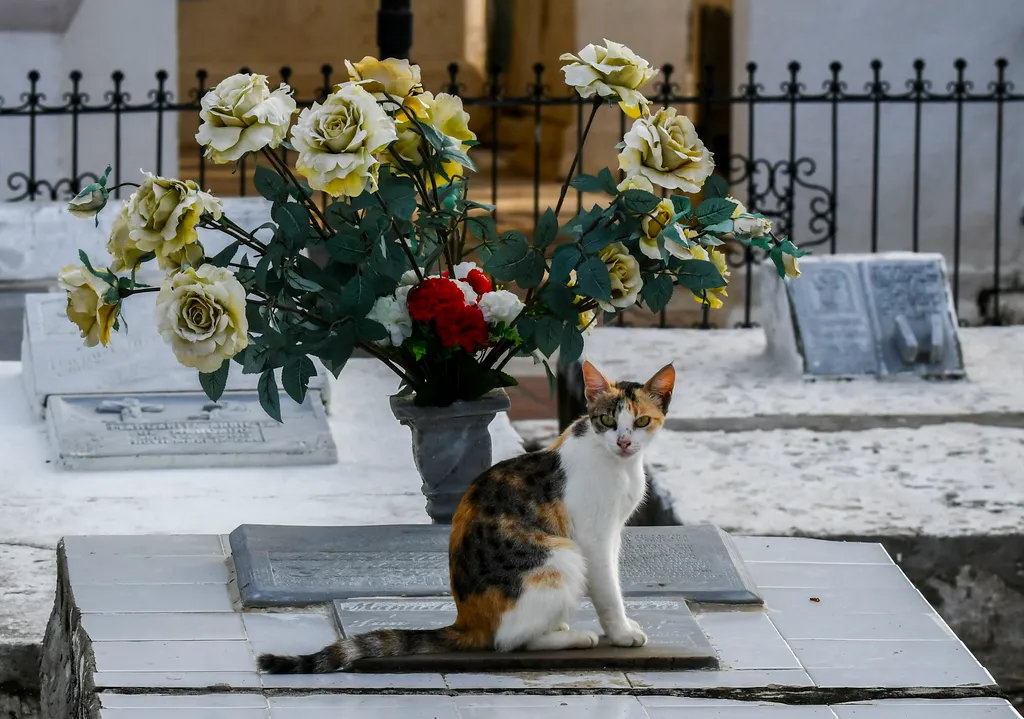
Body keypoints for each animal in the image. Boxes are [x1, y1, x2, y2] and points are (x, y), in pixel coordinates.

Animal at [258, 360, 671, 675]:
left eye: (641, 422)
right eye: (606, 420)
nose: (624, 442)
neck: (618, 465)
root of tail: (466, 621)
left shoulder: (614, 532)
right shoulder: (595, 537)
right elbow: (608, 589)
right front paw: (621, 633)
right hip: (561, 556)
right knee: (508, 641)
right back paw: (572, 637)